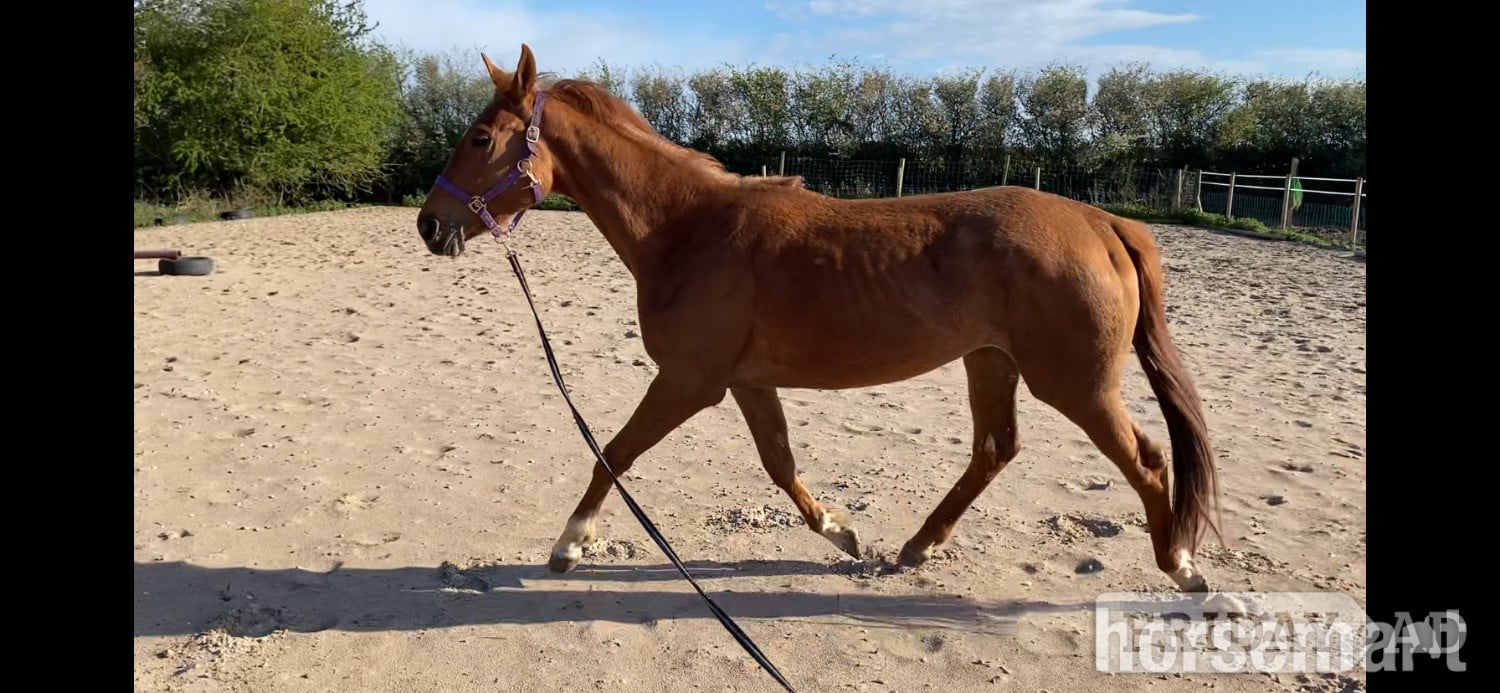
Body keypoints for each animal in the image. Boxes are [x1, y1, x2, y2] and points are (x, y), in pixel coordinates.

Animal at [414, 45, 1223, 593]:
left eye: (481, 138)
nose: (429, 225)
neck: (688, 229)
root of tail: (1102, 221)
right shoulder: (744, 382)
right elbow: (780, 464)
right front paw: (841, 533)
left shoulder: (687, 381)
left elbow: (614, 451)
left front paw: (570, 543)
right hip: (991, 361)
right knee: (995, 449)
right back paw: (917, 546)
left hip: (1076, 384)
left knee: (1146, 461)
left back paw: (1181, 566)